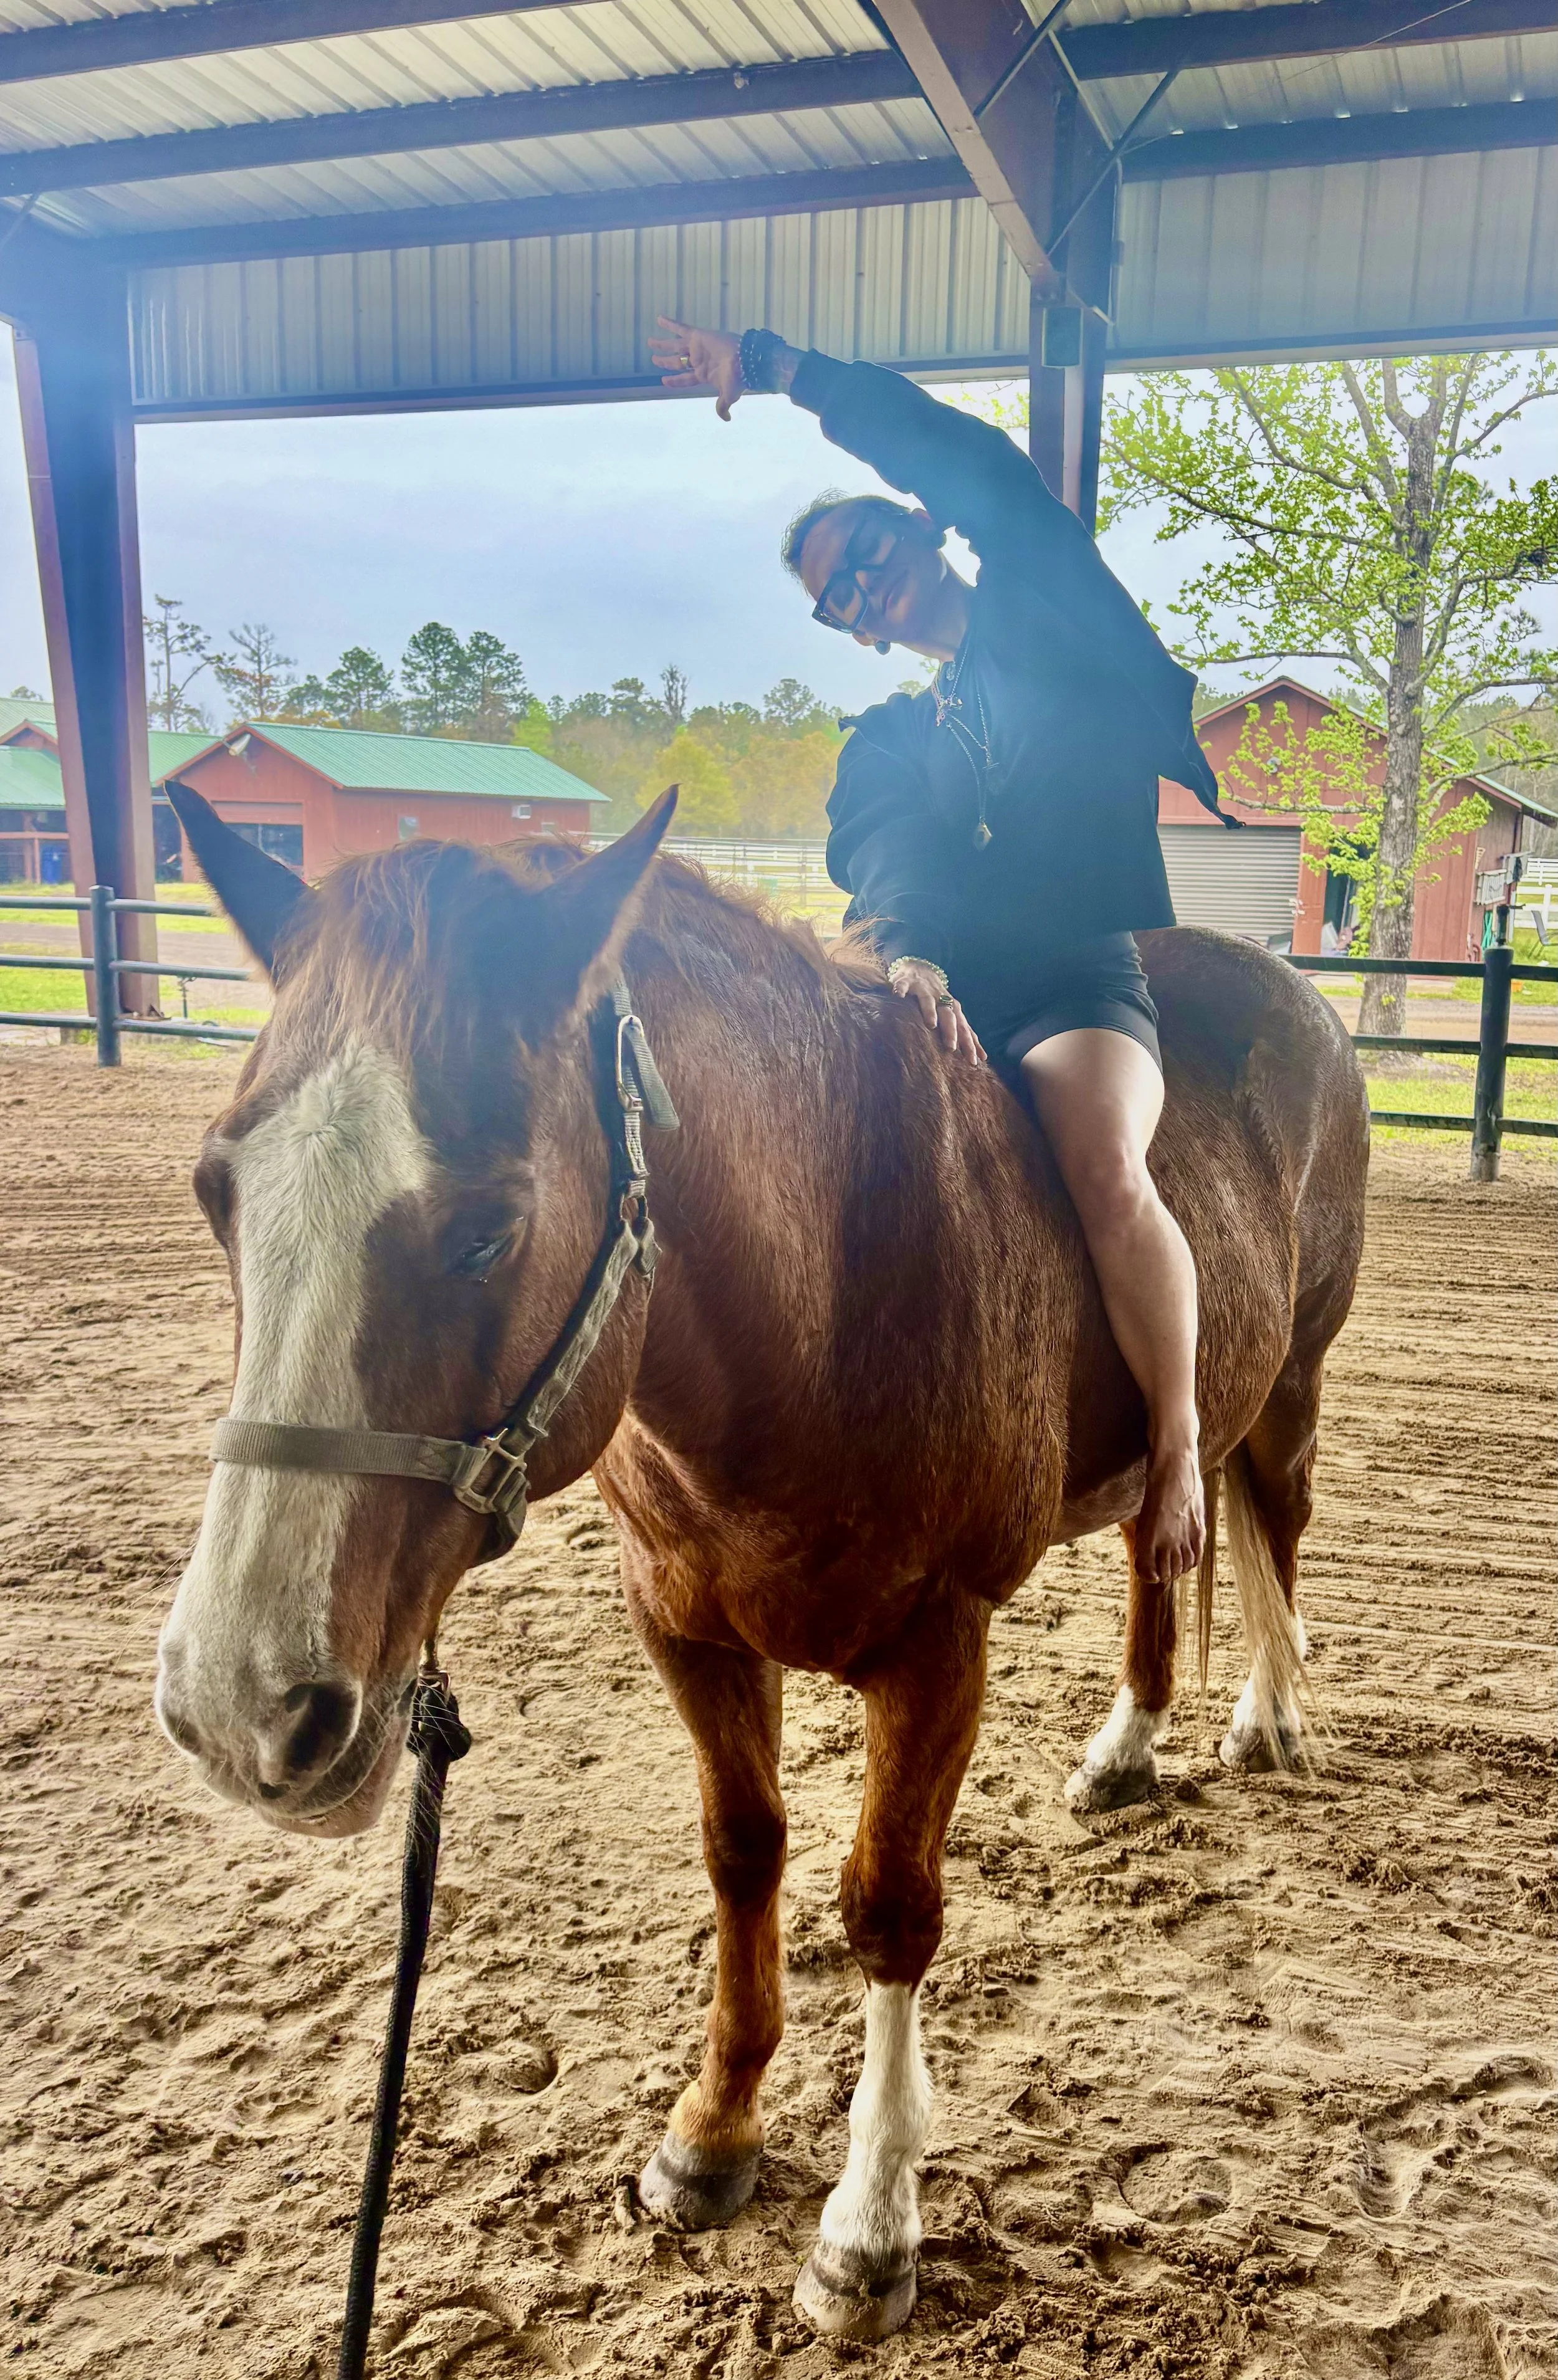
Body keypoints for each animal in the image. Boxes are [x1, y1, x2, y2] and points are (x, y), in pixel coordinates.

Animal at [154, 783, 1368, 2343]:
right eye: (214, 1191)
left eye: (487, 1228)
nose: (239, 1707)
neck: (832, 1272)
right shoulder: (688, 1627)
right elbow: (744, 1858)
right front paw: (714, 2129)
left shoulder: (935, 1651)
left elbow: (885, 1906)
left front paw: (868, 2223)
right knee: (1164, 1538)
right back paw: (1126, 1745)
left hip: (1291, 1380)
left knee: (1273, 1519)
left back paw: (1266, 1716)